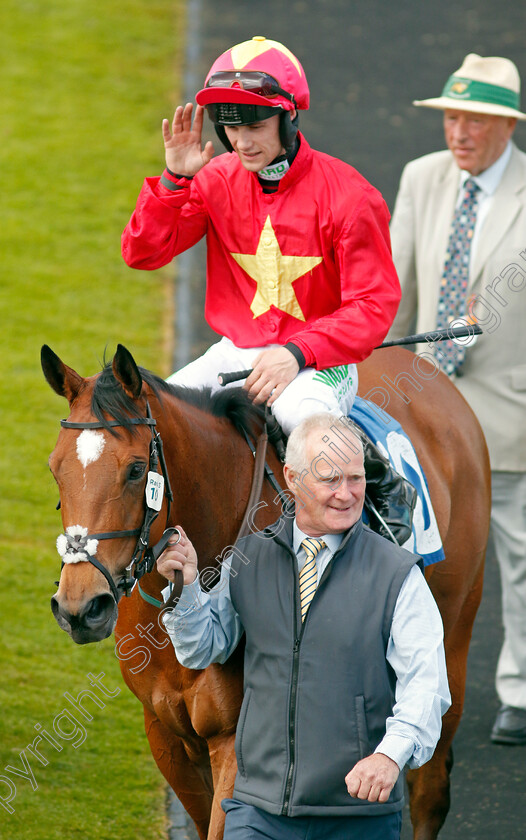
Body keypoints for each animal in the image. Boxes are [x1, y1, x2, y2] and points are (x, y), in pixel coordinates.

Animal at [43, 342, 492, 840]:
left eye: (136, 470)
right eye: (55, 469)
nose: (80, 608)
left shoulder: (236, 741)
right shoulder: (165, 734)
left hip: (452, 637)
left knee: (429, 786)